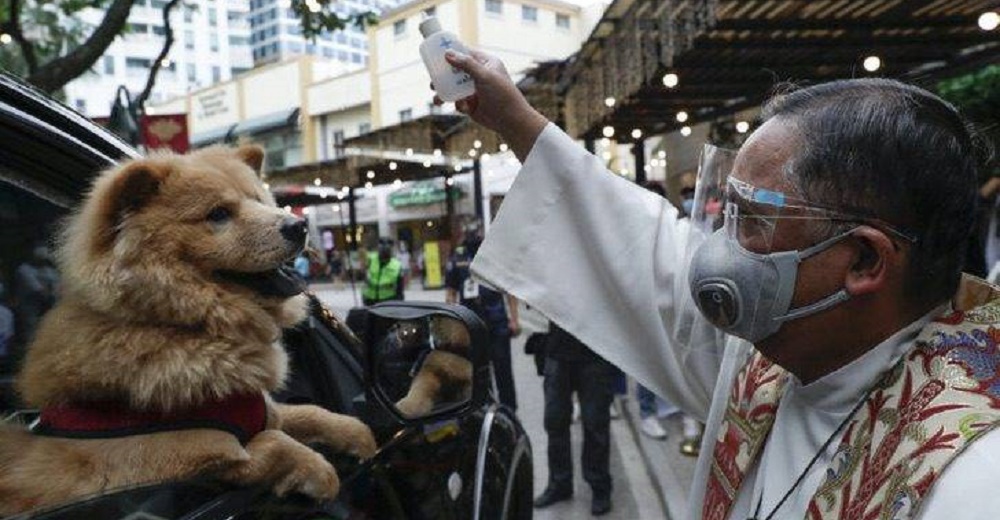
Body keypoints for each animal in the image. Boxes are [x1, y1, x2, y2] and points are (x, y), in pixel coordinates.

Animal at [0, 143, 376, 516]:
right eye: (219, 214)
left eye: (259, 199)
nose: (298, 225)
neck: (186, 325)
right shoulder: (167, 458)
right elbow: (273, 444)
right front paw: (321, 473)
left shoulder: (263, 410)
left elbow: (309, 413)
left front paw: (359, 435)